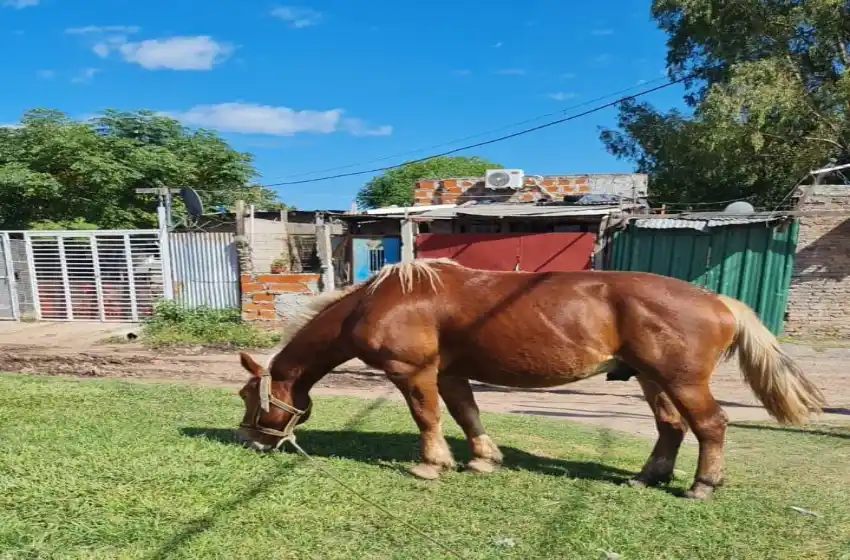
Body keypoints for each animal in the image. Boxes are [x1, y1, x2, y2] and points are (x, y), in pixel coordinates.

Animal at [234, 258, 825, 500]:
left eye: (247, 396)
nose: (250, 441)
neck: (379, 300)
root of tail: (719, 300)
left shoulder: (414, 373)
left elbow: (427, 418)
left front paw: (431, 466)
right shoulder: (452, 375)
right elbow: (467, 415)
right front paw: (482, 461)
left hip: (681, 380)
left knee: (711, 425)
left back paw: (703, 485)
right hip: (651, 378)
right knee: (670, 427)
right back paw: (647, 477)